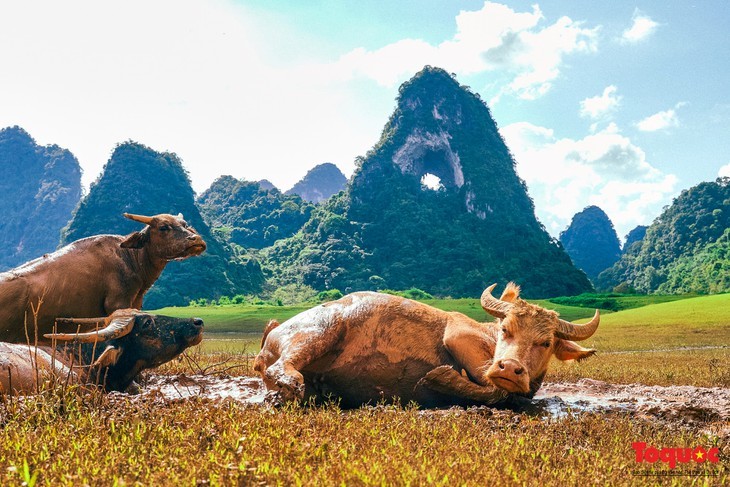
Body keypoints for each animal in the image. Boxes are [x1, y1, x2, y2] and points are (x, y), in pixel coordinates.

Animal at [255, 282, 596, 408]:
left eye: (546, 342)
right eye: (505, 329)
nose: (510, 368)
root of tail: (274, 330)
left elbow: (499, 392)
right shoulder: (458, 333)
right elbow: (492, 387)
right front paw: (439, 377)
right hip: (325, 327)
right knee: (280, 368)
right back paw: (287, 387)